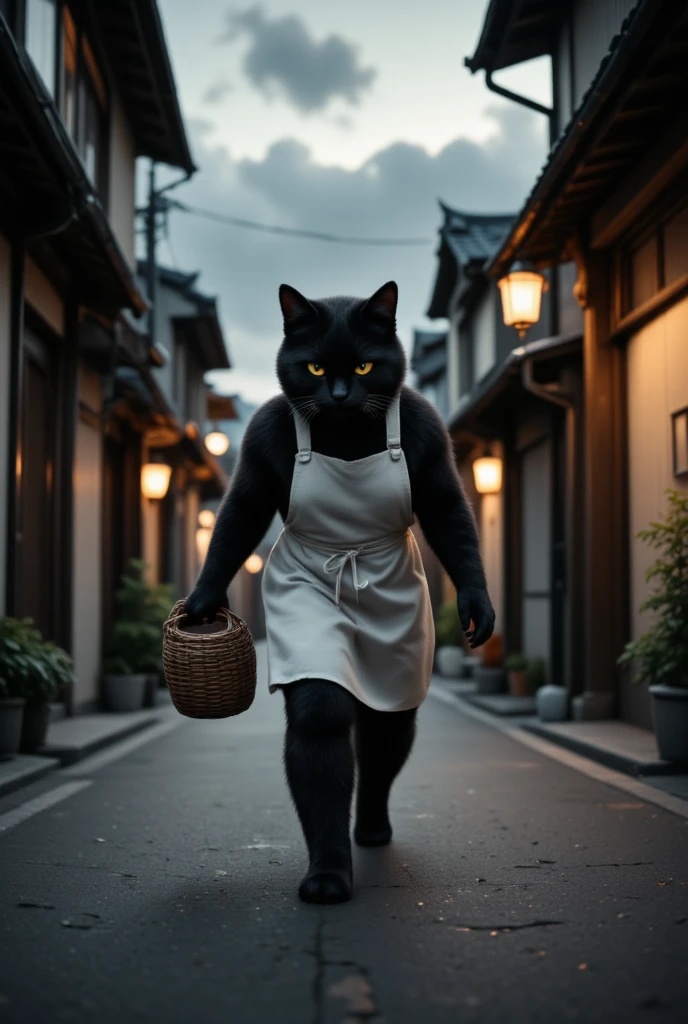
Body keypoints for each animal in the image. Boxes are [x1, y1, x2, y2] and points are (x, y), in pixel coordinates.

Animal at [185, 280, 491, 905]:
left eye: (366, 366)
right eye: (317, 367)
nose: (342, 394)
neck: (346, 434)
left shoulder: (427, 432)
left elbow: (449, 512)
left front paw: (478, 605)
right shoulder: (263, 440)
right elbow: (241, 512)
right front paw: (327, 873)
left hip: (401, 673)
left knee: (384, 738)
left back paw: (371, 826)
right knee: (338, 727)